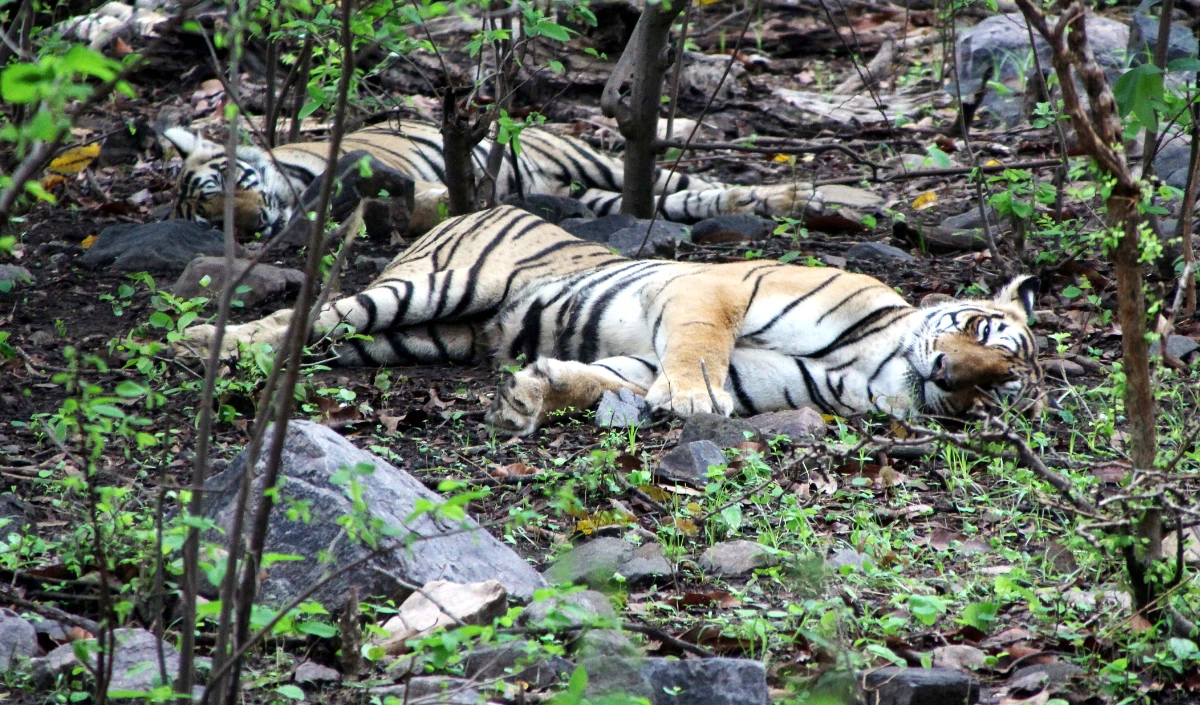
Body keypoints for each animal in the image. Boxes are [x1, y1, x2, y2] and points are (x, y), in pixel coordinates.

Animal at [182, 205, 1046, 434]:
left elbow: (606, 377)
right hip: (430, 287)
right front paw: (692, 400)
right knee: (314, 312)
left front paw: (530, 393)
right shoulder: (720, 290)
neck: (875, 364)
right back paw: (204, 342)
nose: (951, 372)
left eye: (998, 382)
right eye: (981, 333)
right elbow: (697, 350)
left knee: (339, 337)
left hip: (417, 337)